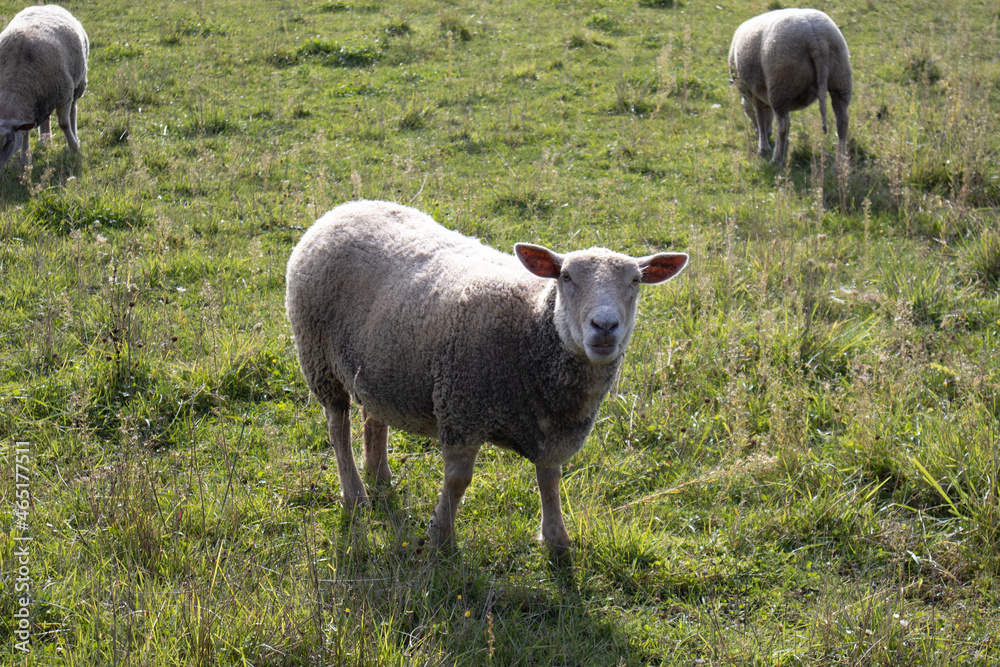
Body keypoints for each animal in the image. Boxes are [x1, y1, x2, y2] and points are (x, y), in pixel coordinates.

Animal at [0, 4, 89, 170]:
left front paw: (74, 147)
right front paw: (26, 161)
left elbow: (63, 124)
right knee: (46, 118)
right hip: (45, 96)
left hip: (78, 84)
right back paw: (45, 142)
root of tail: (46, 5)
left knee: (73, 111)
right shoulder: (29, 106)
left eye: (8, 142)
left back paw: (74, 136)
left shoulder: (64, 94)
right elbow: (25, 133)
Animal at [285, 200, 688, 555]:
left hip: (378, 362)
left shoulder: (553, 429)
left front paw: (556, 541)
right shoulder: (460, 410)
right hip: (318, 357)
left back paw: (379, 474)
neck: (532, 328)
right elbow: (458, 481)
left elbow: (550, 481)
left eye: (635, 280)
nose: (604, 326)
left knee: (373, 414)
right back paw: (356, 495)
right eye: (566, 277)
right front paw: (441, 540)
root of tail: (344, 209)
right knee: (338, 426)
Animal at [728, 8, 852, 165]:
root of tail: (817, 39)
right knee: (843, 120)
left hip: (780, 85)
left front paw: (763, 148)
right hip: (840, 79)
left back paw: (776, 160)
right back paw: (841, 158)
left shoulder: (754, 92)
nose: (767, 134)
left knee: (783, 125)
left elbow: (760, 117)